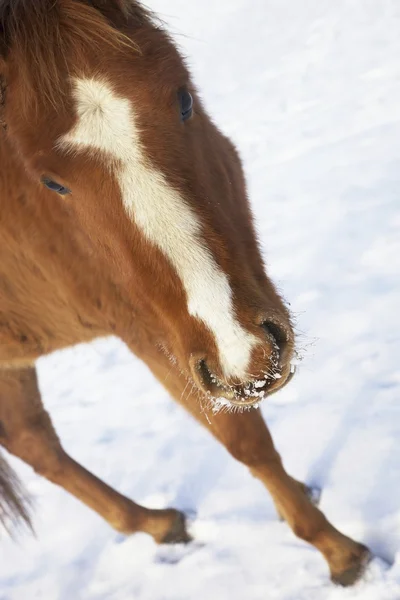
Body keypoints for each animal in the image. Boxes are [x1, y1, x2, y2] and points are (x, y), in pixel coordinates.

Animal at [0, 0, 368, 584]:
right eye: (51, 182)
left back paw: (153, 523)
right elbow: (245, 440)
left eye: (184, 100)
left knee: (31, 439)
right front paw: (336, 550)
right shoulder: (149, 327)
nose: (246, 354)